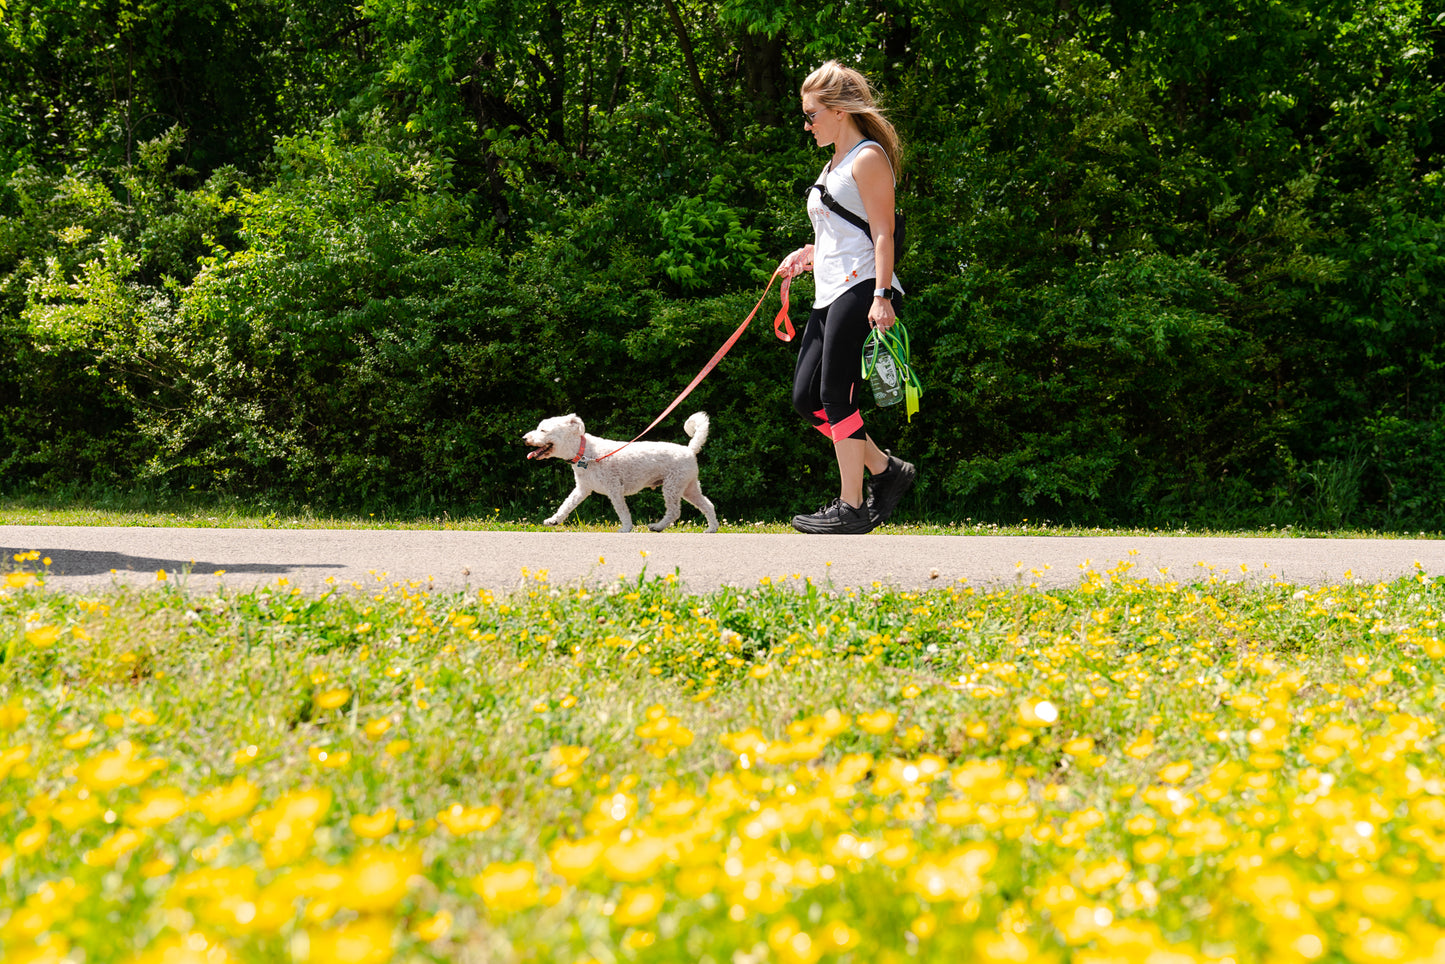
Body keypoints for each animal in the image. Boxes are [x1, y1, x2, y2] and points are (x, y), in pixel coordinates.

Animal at [523, 410, 719, 534]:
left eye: (543, 430)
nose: (524, 438)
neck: (585, 452)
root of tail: (690, 450)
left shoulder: (614, 489)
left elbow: (622, 511)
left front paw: (626, 528)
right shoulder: (582, 489)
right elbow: (566, 505)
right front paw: (554, 520)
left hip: (672, 486)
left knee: (674, 512)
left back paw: (657, 526)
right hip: (688, 487)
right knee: (708, 505)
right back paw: (712, 528)